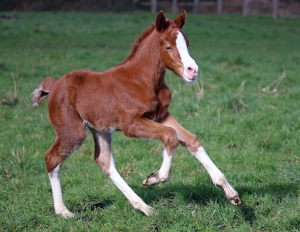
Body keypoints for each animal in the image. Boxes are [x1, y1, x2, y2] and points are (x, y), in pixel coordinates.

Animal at [32, 10, 240, 218]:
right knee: (52, 158)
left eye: (187, 44)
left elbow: (190, 139)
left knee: (104, 161)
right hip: (73, 132)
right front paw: (155, 178)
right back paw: (63, 211)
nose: (192, 71)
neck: (142, 80)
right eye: (168, 47)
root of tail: (54, 86)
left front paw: (230, 193)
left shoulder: (161, 115)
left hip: (101, 129)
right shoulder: (131, 125)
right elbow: (170, 136)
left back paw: (143, 207)